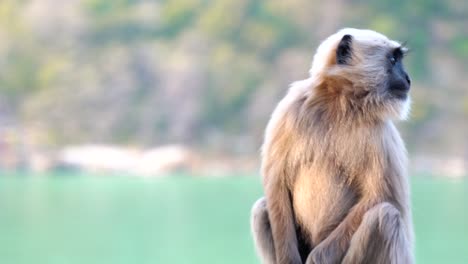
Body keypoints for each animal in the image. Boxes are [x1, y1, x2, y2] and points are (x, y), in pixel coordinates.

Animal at [252, 27, 414, 262]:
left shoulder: (381, 132)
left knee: (385, 216)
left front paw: (317, 258)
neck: (340, 102)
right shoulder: (290, 108)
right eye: (393, 60)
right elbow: (277, 185)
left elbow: (382, 196)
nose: (408, 79)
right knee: (262, 207)